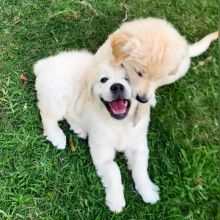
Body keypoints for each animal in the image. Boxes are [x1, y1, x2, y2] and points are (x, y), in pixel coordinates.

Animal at [33, 50, 159, 212]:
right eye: (104, 80)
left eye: (128, 79)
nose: (117, 87)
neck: (118, 124)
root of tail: (44, 64)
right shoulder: (102, 152)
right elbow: (114, 171)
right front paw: (116, 201)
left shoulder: (139, 147)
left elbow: (141, 170)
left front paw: (148, 191)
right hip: (57, 97)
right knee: (47, 114)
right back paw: (57, 136)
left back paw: (79, 128)